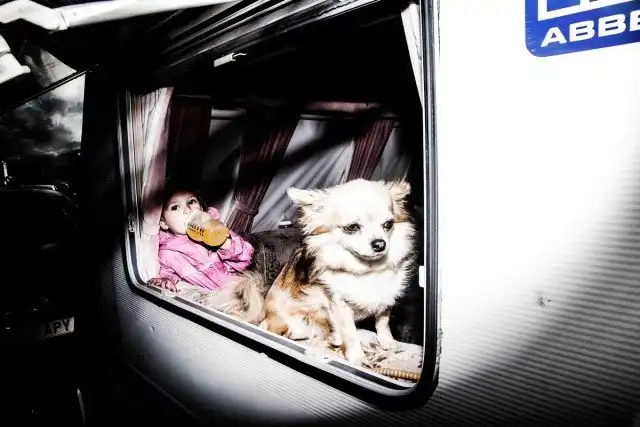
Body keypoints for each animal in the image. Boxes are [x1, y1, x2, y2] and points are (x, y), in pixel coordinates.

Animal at [201, 179, 417, 367]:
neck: (365, 270)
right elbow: (349, 332)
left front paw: (387, 341)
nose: (380, 244)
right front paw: (357, 357)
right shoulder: (338, 304)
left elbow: (383, 319)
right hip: (293, 324)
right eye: (352, 228)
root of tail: (265, 313)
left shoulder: (386, 296)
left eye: (388, 225)